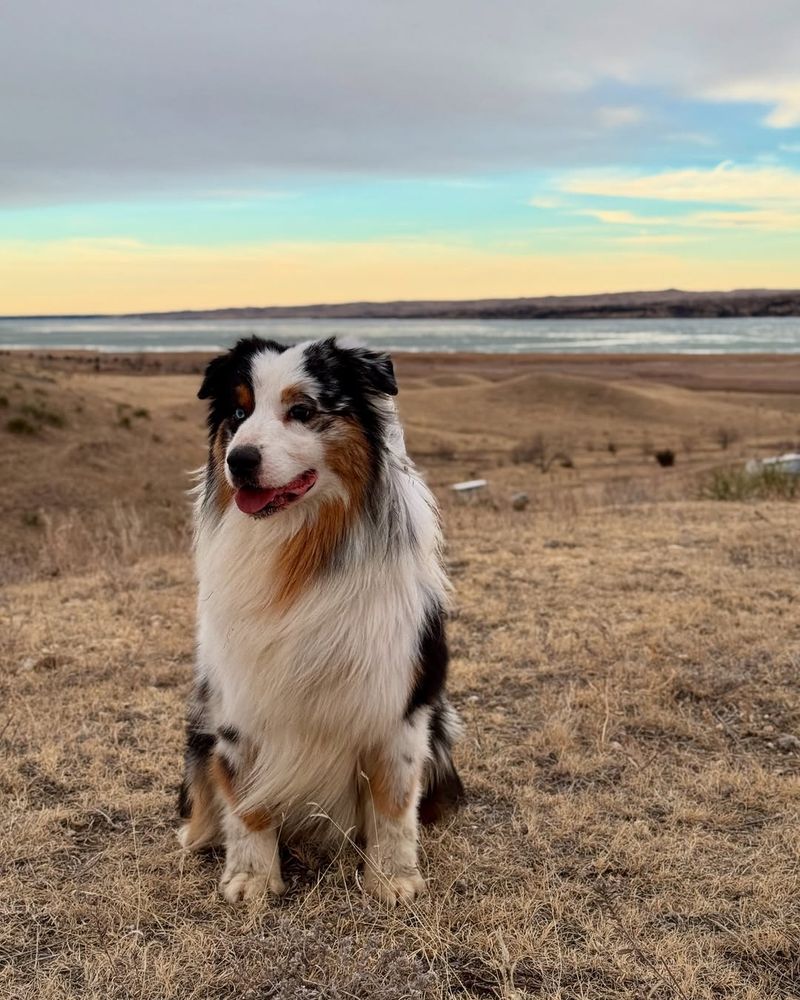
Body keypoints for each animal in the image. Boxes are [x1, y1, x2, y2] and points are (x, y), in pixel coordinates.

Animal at [177, 338, 462, 908]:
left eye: (303, 411)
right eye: (238, 414)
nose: (238, 460)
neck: (299, 547)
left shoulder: (399, 702)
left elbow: (394, 801)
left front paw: (392, 878)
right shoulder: (237, 702)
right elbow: (245, 800)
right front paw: (253, 878)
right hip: (199, 729)